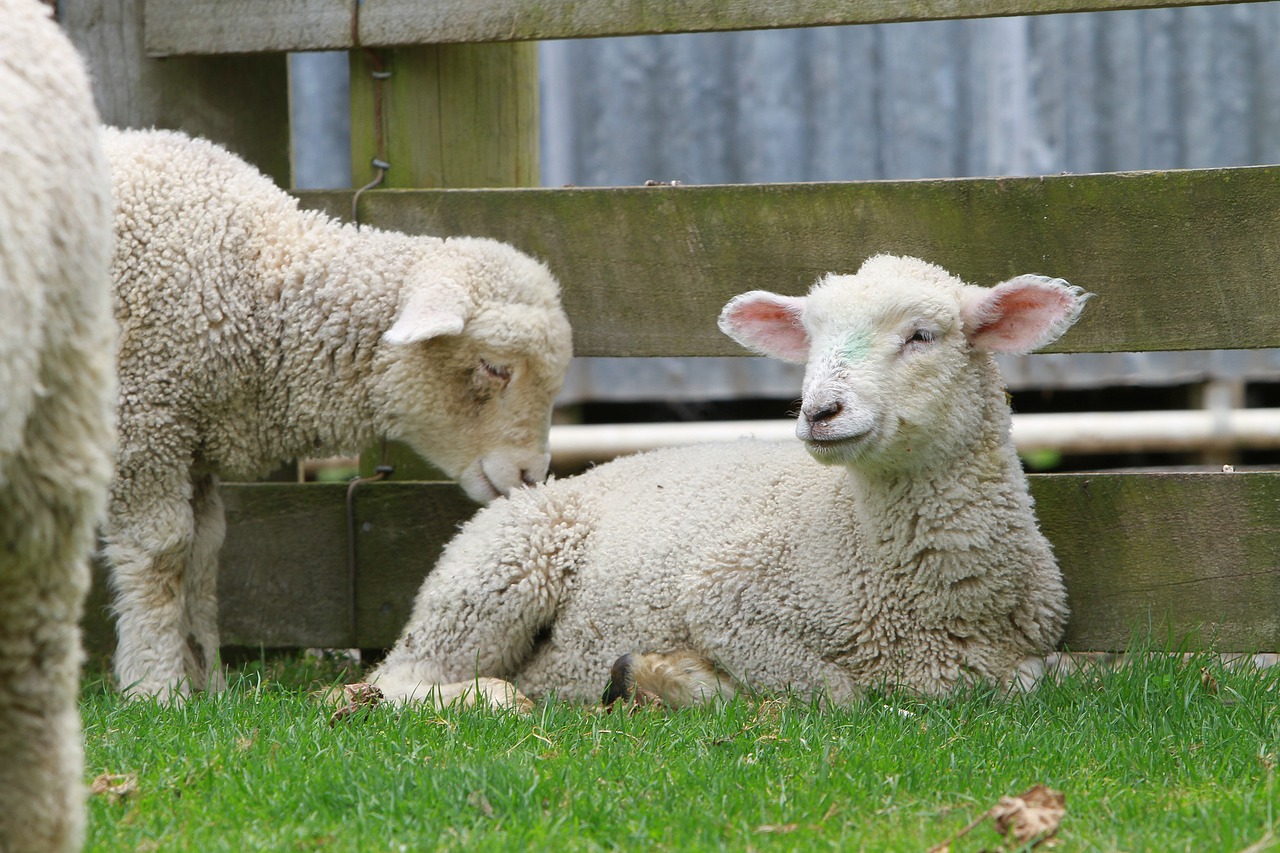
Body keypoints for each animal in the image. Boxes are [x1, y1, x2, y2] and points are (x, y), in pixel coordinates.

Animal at [102, 126, 573, 696]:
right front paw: (157, 685)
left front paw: (208, 683)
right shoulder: (143, 419)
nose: (531, 475)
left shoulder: (191, 437)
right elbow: (164, 551)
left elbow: (204, 553)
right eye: (495, 367)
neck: (253, 281)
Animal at [368, 252, 1090, 701]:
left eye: (923, 334)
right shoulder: (726, 595)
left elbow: (1040, 675)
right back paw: (494, 696)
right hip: (496, 572)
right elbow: (841, 692)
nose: (819, 411)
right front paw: (678, 679)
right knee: (393, 679)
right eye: (810, 340)